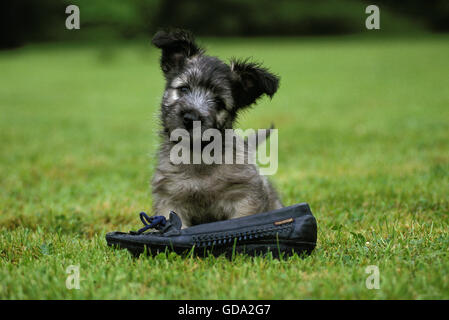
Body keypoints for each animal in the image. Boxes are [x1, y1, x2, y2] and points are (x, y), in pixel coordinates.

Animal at [150, 28, 284, 228]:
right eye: (183, 89)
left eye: (219, 102)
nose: (190, 118)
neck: (198, 155)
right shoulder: (170, 199)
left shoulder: (245, 197)